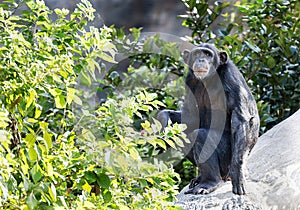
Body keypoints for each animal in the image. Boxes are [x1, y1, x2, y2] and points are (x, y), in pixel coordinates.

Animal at [158, 43, 258, 195]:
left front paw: (238, 173)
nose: (200, 60)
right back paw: (200, 178)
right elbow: (190, 117)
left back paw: (210, 182)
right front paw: (163, 119)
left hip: (226, 160)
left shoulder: (231, 77)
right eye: (197, 54)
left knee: (200, 136)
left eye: (207, 54)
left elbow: (240, 119)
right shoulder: (190, 80)